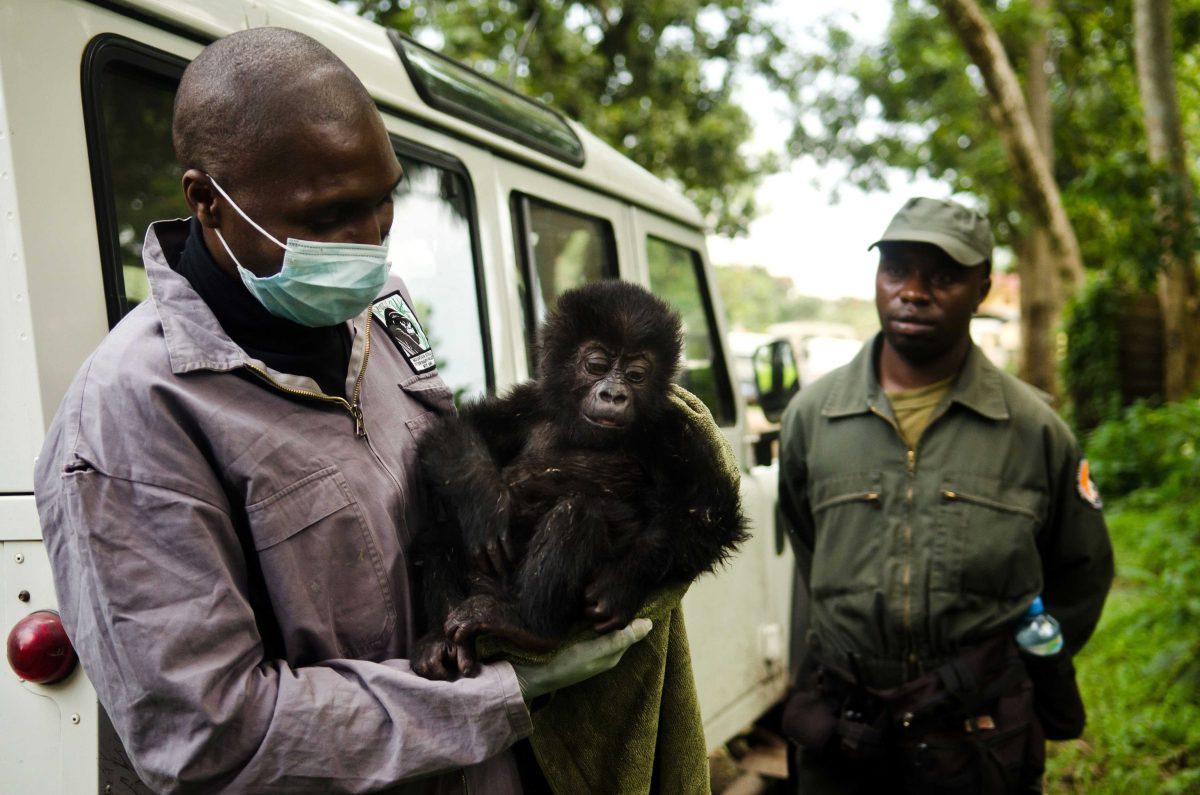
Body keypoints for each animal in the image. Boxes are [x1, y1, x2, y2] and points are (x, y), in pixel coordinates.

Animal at [415, 279, 748, 677]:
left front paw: (620, 584)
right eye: (596, 365)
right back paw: (441, 641)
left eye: (636, 374)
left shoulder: (670, 429)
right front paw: (485, 502)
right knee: (441, 520)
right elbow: (456, 429)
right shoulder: (529, 403)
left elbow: (709, 511)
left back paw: (525, 625)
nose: (613, 394)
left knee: (578, 510)